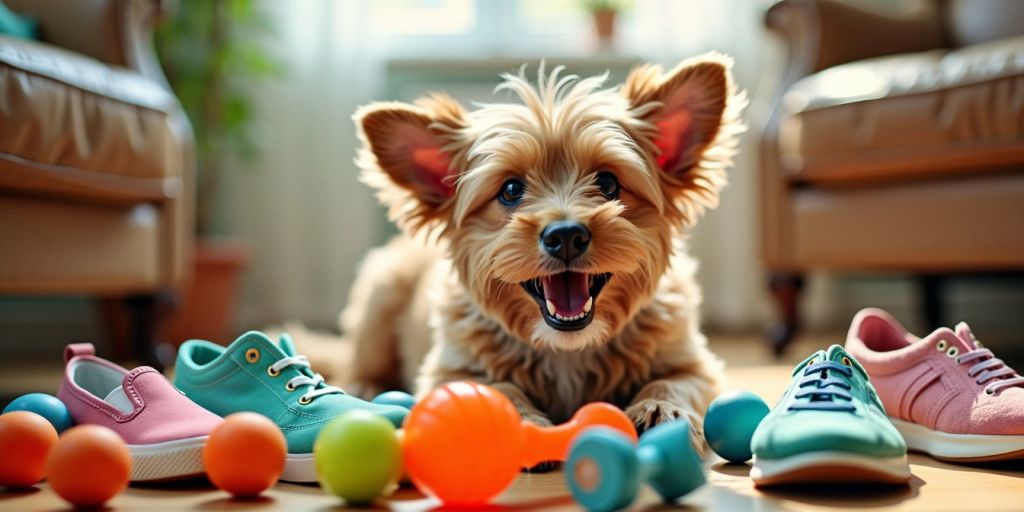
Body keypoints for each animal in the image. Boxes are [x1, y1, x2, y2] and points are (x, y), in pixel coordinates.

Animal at [335, 55, 745, 448]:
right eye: (510, 190)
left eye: (608, 183)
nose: (566, 235)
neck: (567, 350)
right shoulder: (449, 371)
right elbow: (497, 386)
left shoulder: (694, 364)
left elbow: (674, 381)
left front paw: (660, 406)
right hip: (380, 297)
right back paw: (363, 386)